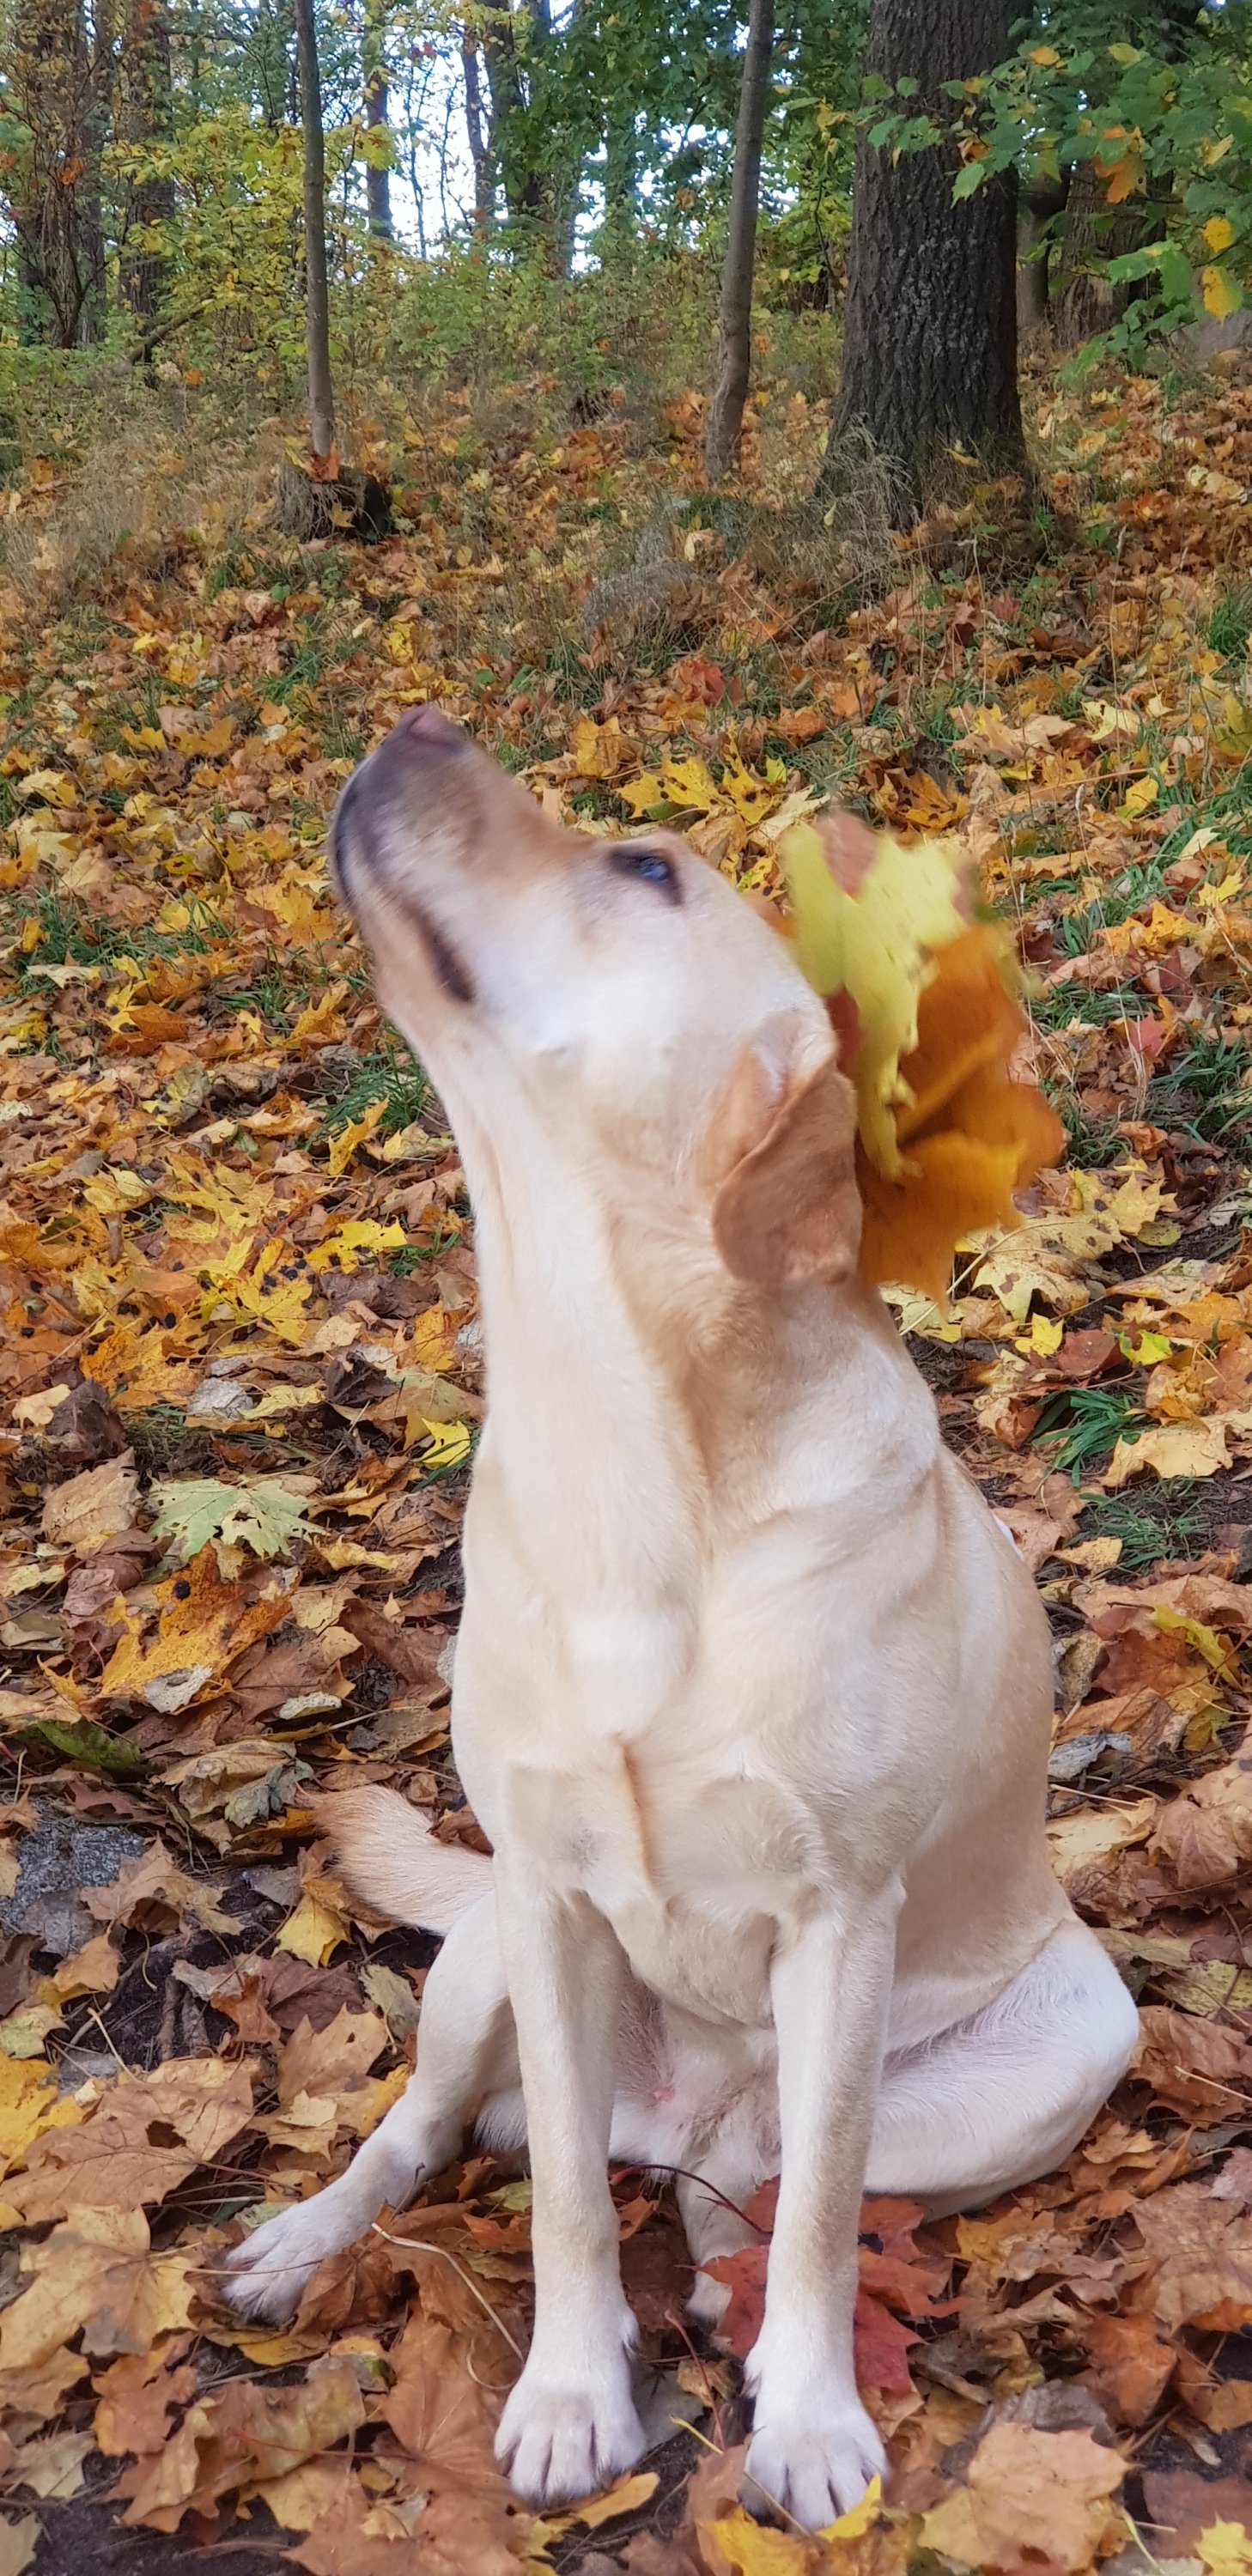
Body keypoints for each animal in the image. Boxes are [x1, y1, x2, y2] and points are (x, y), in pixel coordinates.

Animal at [226, 704, 1138, 2528]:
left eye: (645, 869)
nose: (419, 720)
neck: (621, 1432)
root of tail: (685, 2118)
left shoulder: (840, 1919)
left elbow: (820, 2219)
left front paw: (808, 2422)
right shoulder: (546, 1888)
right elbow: (568, 2201)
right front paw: (573, 2394)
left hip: (1075, 2034)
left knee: (762, 2181)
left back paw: (734, 2295)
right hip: (482, 1960)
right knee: (439, 2133)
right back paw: (311, 2239)